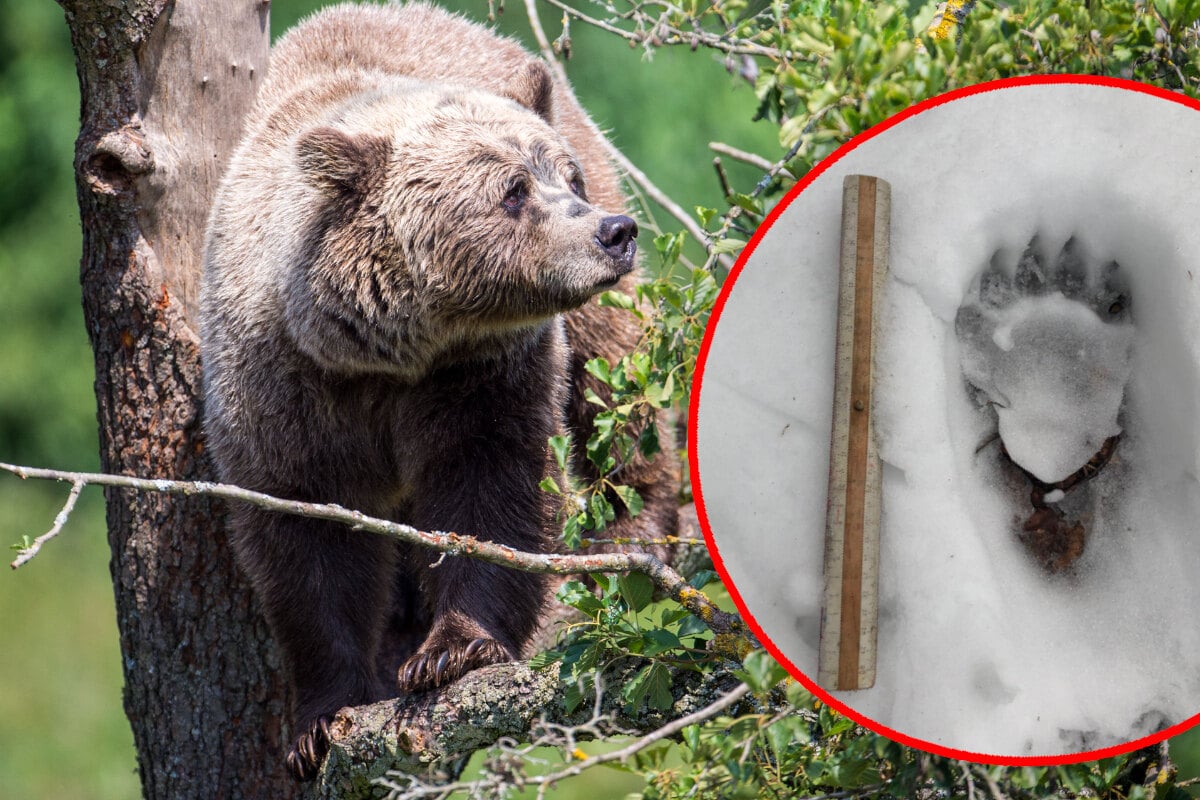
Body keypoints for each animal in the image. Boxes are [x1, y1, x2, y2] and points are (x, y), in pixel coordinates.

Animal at [201, 0, 681, 782]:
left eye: (566, 179)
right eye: (513, 190)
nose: (613, 232)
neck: (390, 350)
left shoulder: (483, 375)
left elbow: (493, 489)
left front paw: (453, 649)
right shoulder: (283, 389)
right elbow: (304, 537)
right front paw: (321, 719)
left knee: (615, 389)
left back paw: (633, 533)